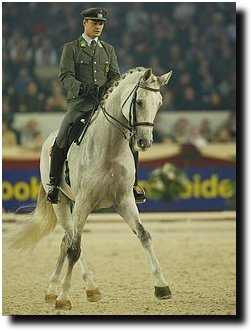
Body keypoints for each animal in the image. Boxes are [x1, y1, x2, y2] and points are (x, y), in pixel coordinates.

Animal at [8, 67, 172, 312]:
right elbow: (75, 250)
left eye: (159, 103)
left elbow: (144, 236)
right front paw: (64, 298)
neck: (110, 149)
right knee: (71, 241)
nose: (145, 142)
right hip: (64, 205)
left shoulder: (124, 200)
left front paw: (162, 286)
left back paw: (54, 289)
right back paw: (87, 288)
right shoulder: (84, 202)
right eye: (140, 102)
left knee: (66, 240)